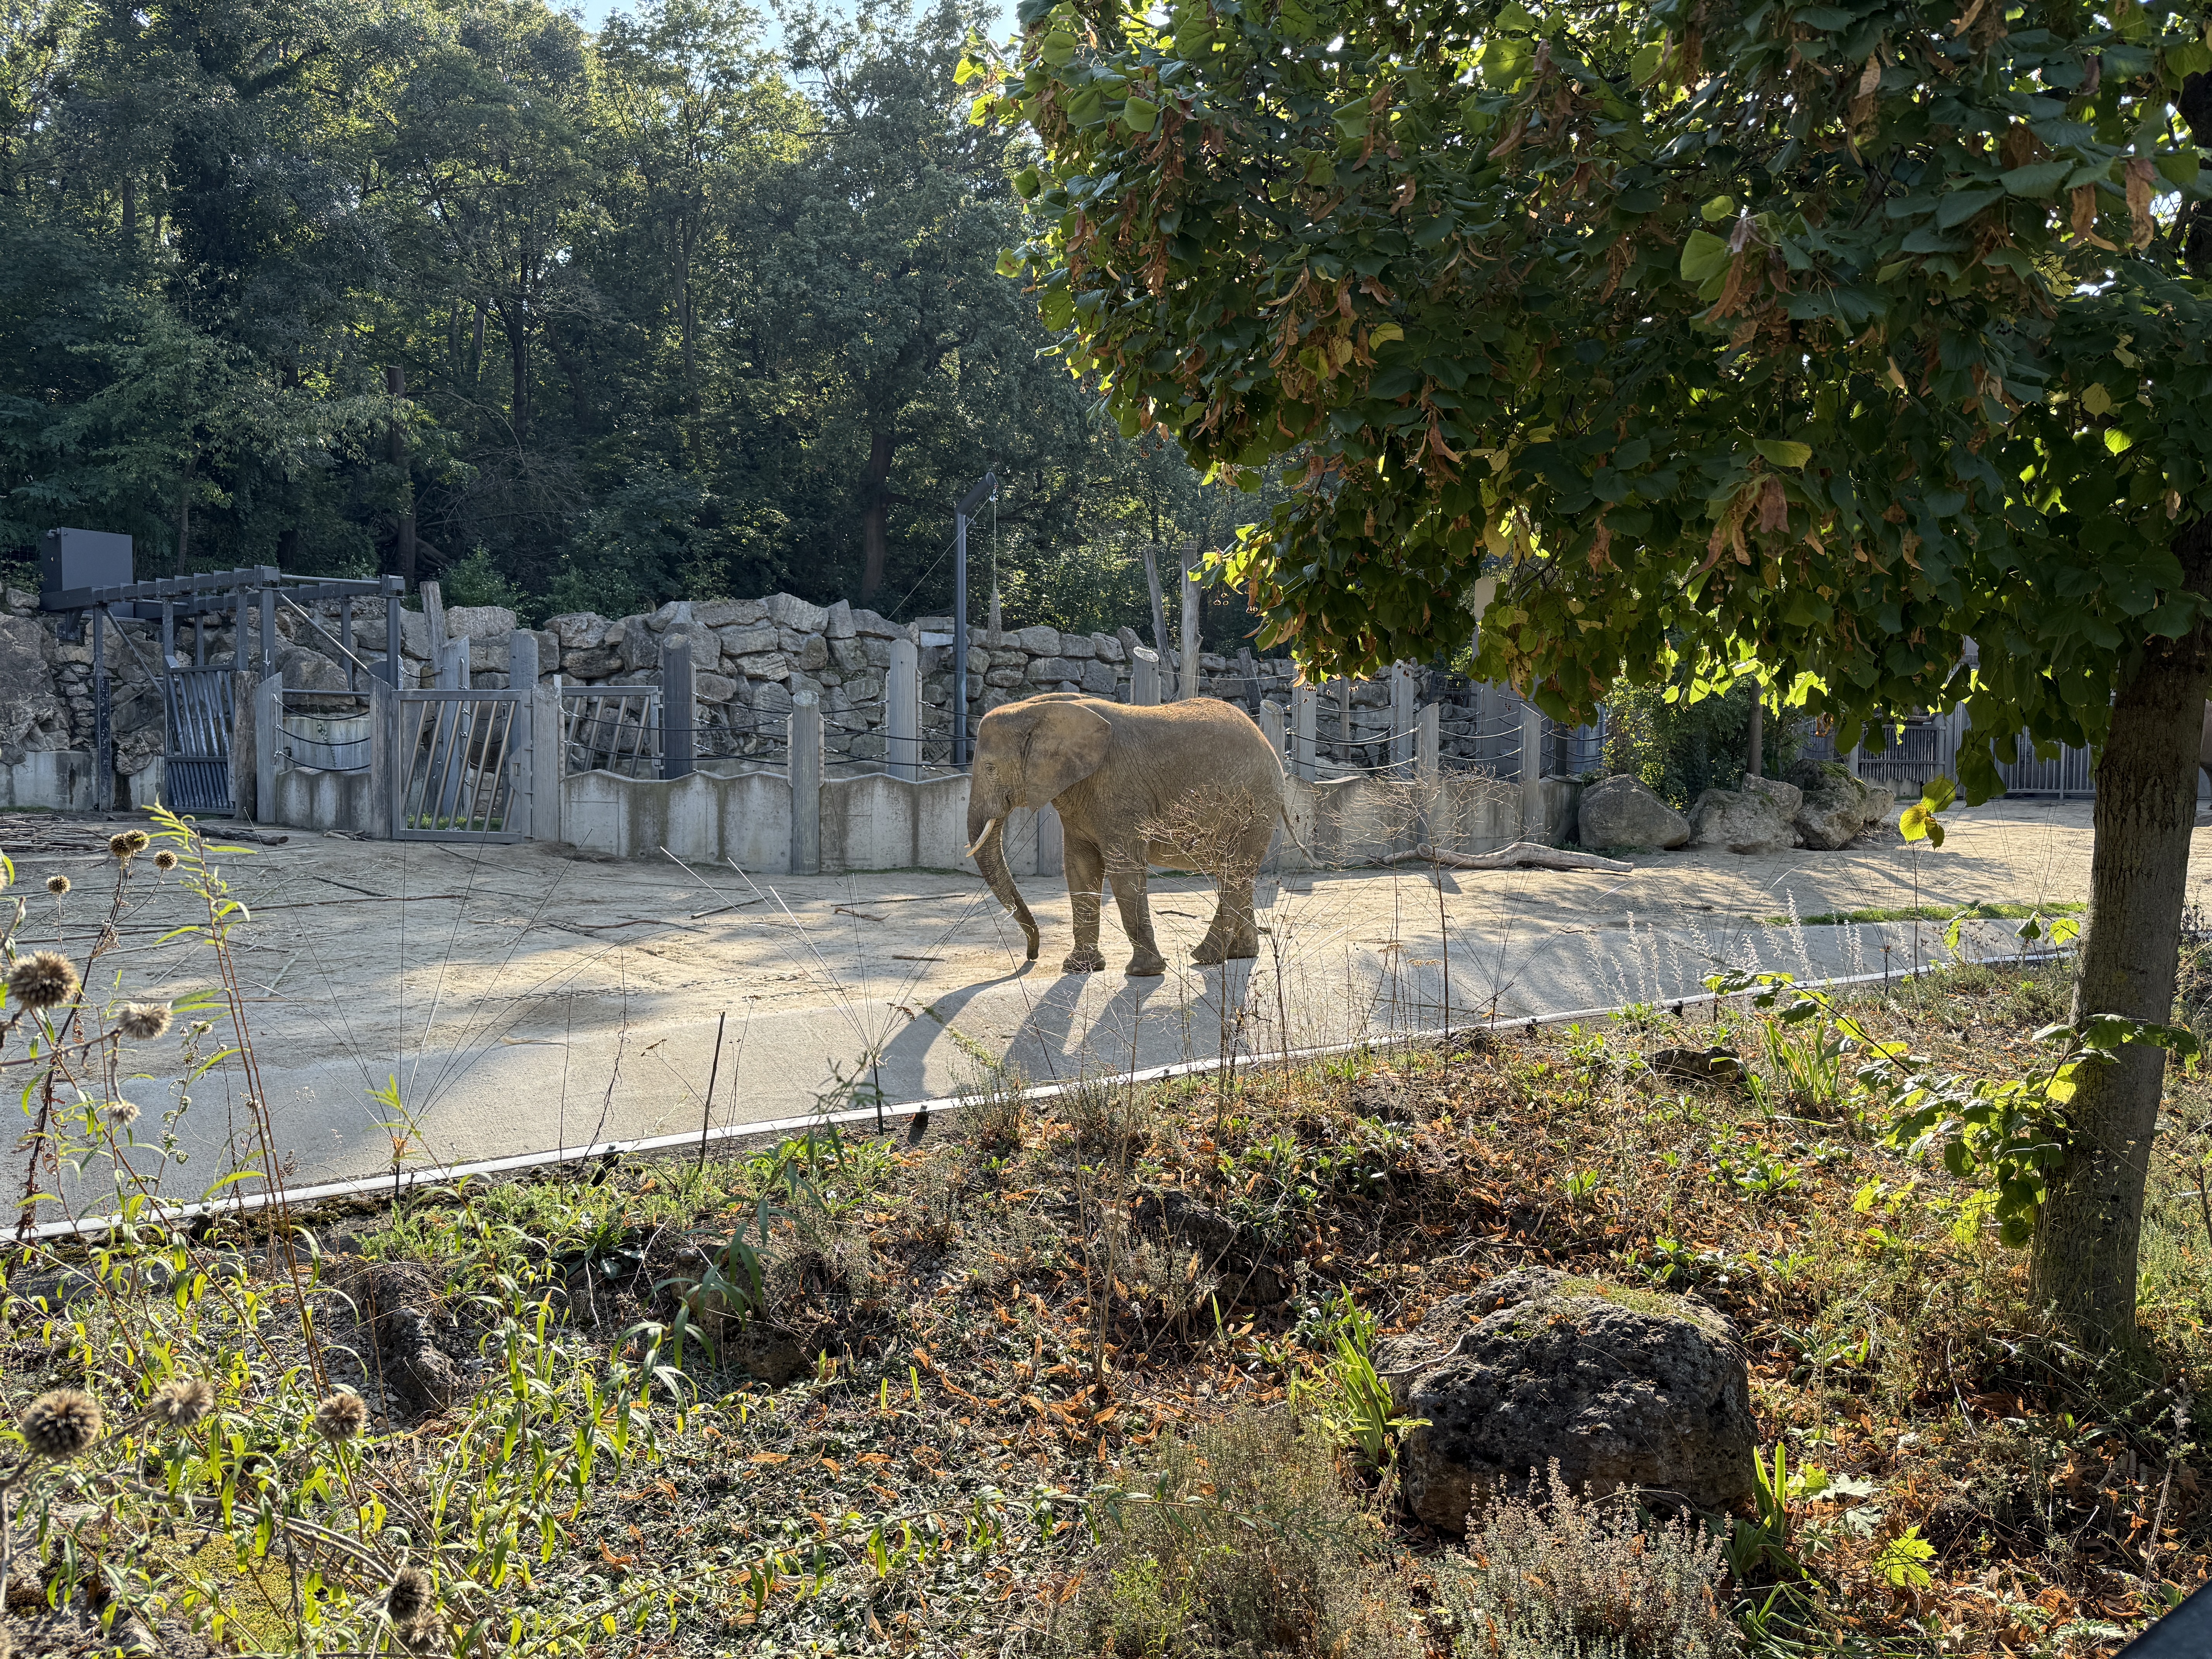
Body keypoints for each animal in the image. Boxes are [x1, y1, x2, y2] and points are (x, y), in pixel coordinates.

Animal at [964, 693, 1287, 977]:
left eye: (990, 768)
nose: (1031, 956)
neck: (1038, 710)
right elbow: (1080, 866)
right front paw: (1079, 968)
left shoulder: (1118, 790)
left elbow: (1124, 869)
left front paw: (1143, 973)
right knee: (1235, 872)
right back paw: (1239, 954)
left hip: (1253, 806)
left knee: (1234, 869)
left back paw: (1205, 957)